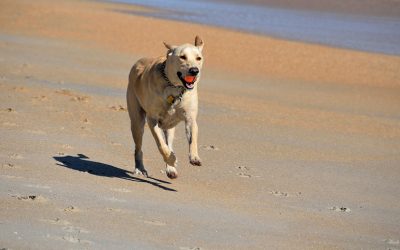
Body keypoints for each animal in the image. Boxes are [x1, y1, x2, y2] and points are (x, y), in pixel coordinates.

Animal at [126, 36, 205, 179]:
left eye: (198, 58)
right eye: (182, 57)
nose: (194, 71)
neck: (174, 87)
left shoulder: (190, 118)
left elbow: (192, 139)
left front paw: (194, 157)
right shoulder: (152, 120)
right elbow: (161, 145)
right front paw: (172, 160)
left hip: (170, 127)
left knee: (169, 142)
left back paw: (171, 169)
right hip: (137, 122)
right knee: (138, 148)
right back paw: (140, 168)